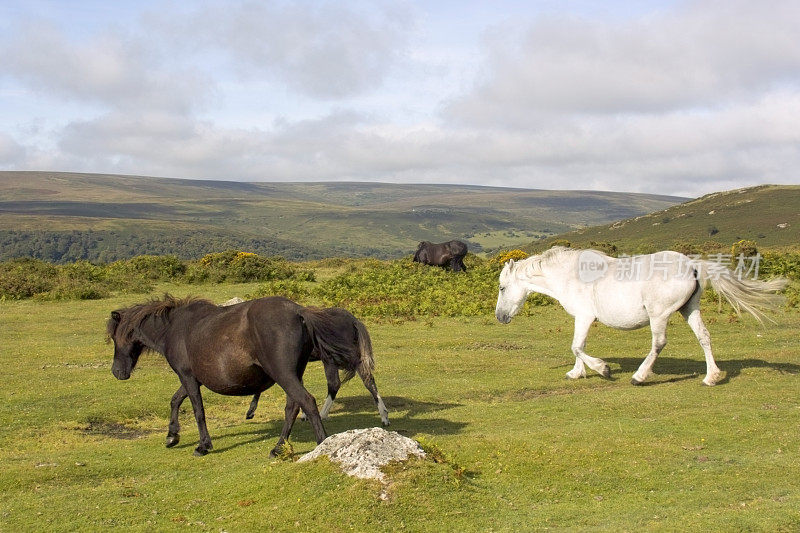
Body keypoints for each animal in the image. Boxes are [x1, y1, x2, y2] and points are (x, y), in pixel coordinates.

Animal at [105, 294, 360, 456]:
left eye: (116, 337)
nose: (117, 372)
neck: (173, 329)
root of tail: (299, 312)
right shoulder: (192, 378)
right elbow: (176, 400)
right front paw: (172, 435)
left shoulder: (187, 377)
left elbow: (198, 411)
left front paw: (203, 446)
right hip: (294, 374)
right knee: (292, 407)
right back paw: (278, 448)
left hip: (284, 374)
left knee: (306, 401)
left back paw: (321, 443)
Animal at [245, 308, 392, 424]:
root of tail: (353, 321)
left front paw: (251, 411)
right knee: (368, 380)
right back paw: (384, 416)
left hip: (330, 359)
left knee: (334, 384)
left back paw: (322, 415)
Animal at [496, 247, 784, 384]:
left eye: (501, 288)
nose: (500, 317)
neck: (569, 275)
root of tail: (692, 265)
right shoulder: (582, 319)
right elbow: (579, 347)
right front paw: (576, 373)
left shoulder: (584, 317)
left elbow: (577, 347)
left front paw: (602, 369)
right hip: (689, 309)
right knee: (704, 337)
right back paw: (711, 378)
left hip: (659, 315)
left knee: (658, 343)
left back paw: (639, 377)